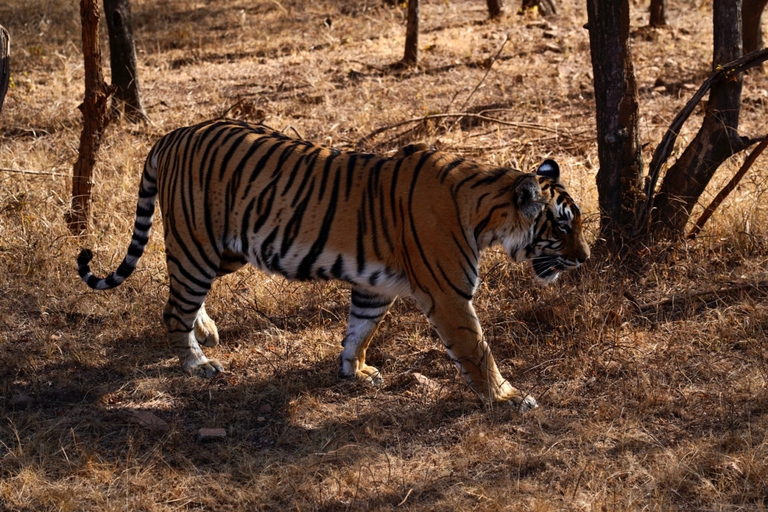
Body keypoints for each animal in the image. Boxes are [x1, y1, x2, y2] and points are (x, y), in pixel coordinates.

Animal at [78, 119, 592, 412]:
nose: (585, 258)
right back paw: (198, 363)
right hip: (198, 244)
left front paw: (355, 372)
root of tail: (172, 135)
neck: (486, 214)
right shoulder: (449, 296)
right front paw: (508, 398)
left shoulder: (376, 287)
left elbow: (359, 329)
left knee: (181, 296)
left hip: (224, 251)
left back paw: (205, 330)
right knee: (173, 309)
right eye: (563, 226)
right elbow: (477, 350)